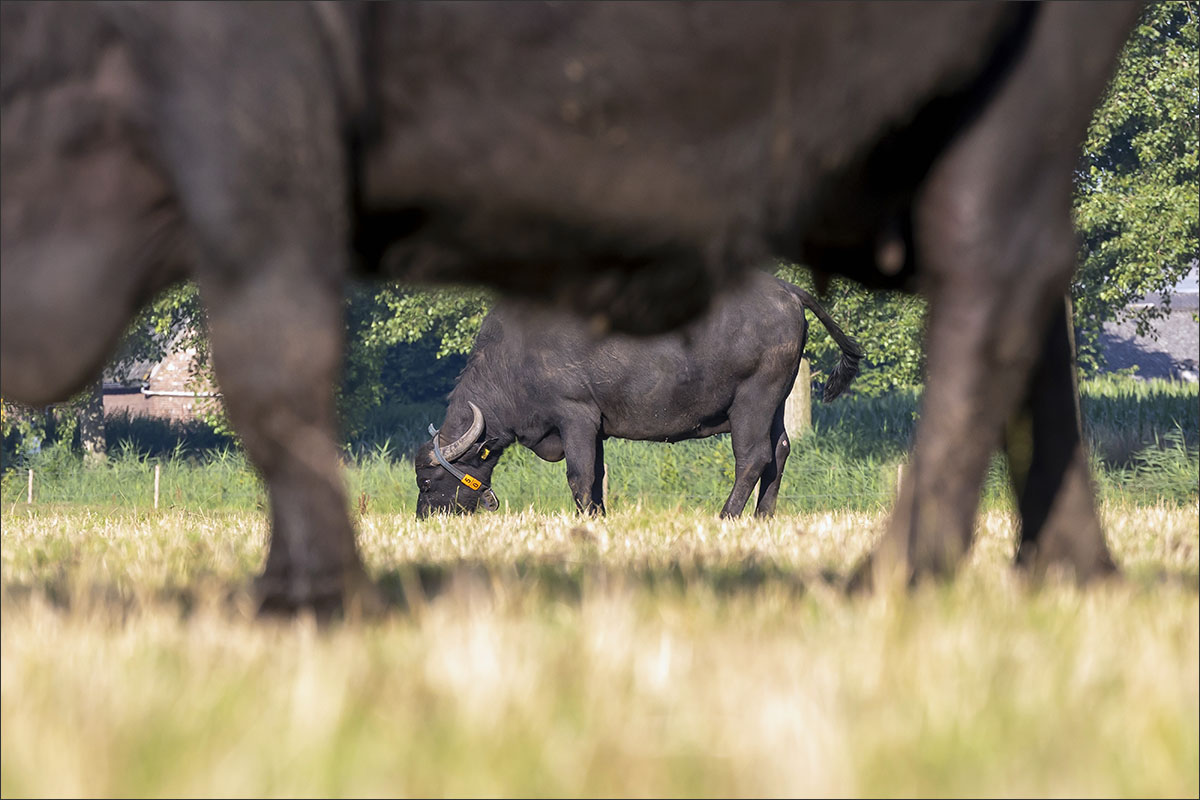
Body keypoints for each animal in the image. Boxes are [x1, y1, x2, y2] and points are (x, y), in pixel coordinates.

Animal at [415, 271, 864, 520]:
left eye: (426, 480)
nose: (424, 518)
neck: (515, 358)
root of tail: (787, 290)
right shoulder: (595, 427)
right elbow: (597, 476)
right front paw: (598, 517)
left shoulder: (575, 416)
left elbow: (579, 476)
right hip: (776, 404)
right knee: (782, 449)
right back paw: (762, 517)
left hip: (753, 401)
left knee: (754, 457)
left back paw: (727, 516)